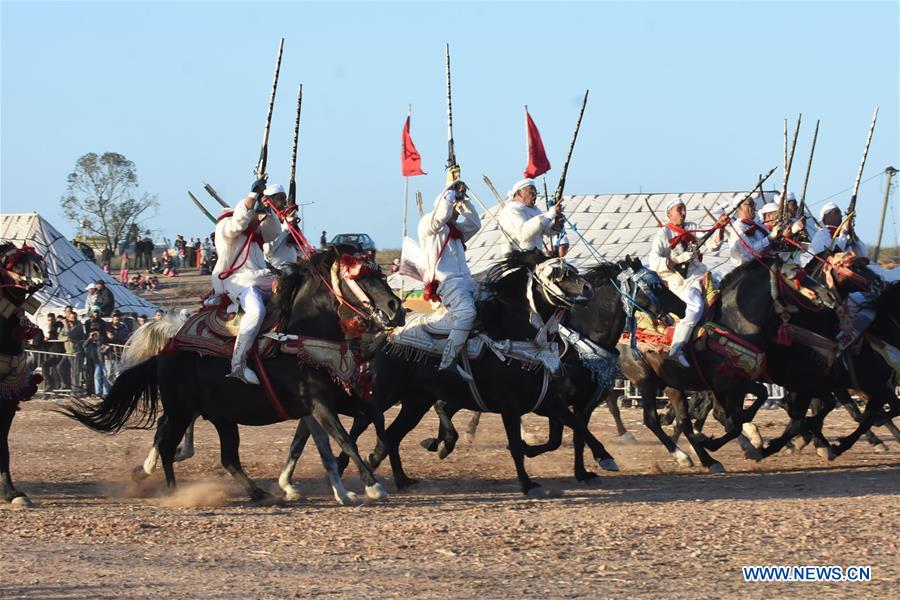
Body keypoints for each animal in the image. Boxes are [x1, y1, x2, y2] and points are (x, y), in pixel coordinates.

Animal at [68, 246, 406, 504]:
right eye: (359, 276)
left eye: (380, 273)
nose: (396, 308)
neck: (300, 336)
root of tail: (165, 351)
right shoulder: (318, 403)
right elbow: (343, 439)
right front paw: (372, 485)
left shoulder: (332, 400)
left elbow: (368, 418)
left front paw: (359, 473)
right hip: (181, 411)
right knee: (166, 442)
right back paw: (173, 491)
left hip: (220, 417)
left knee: (225, 456)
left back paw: (257, 492)